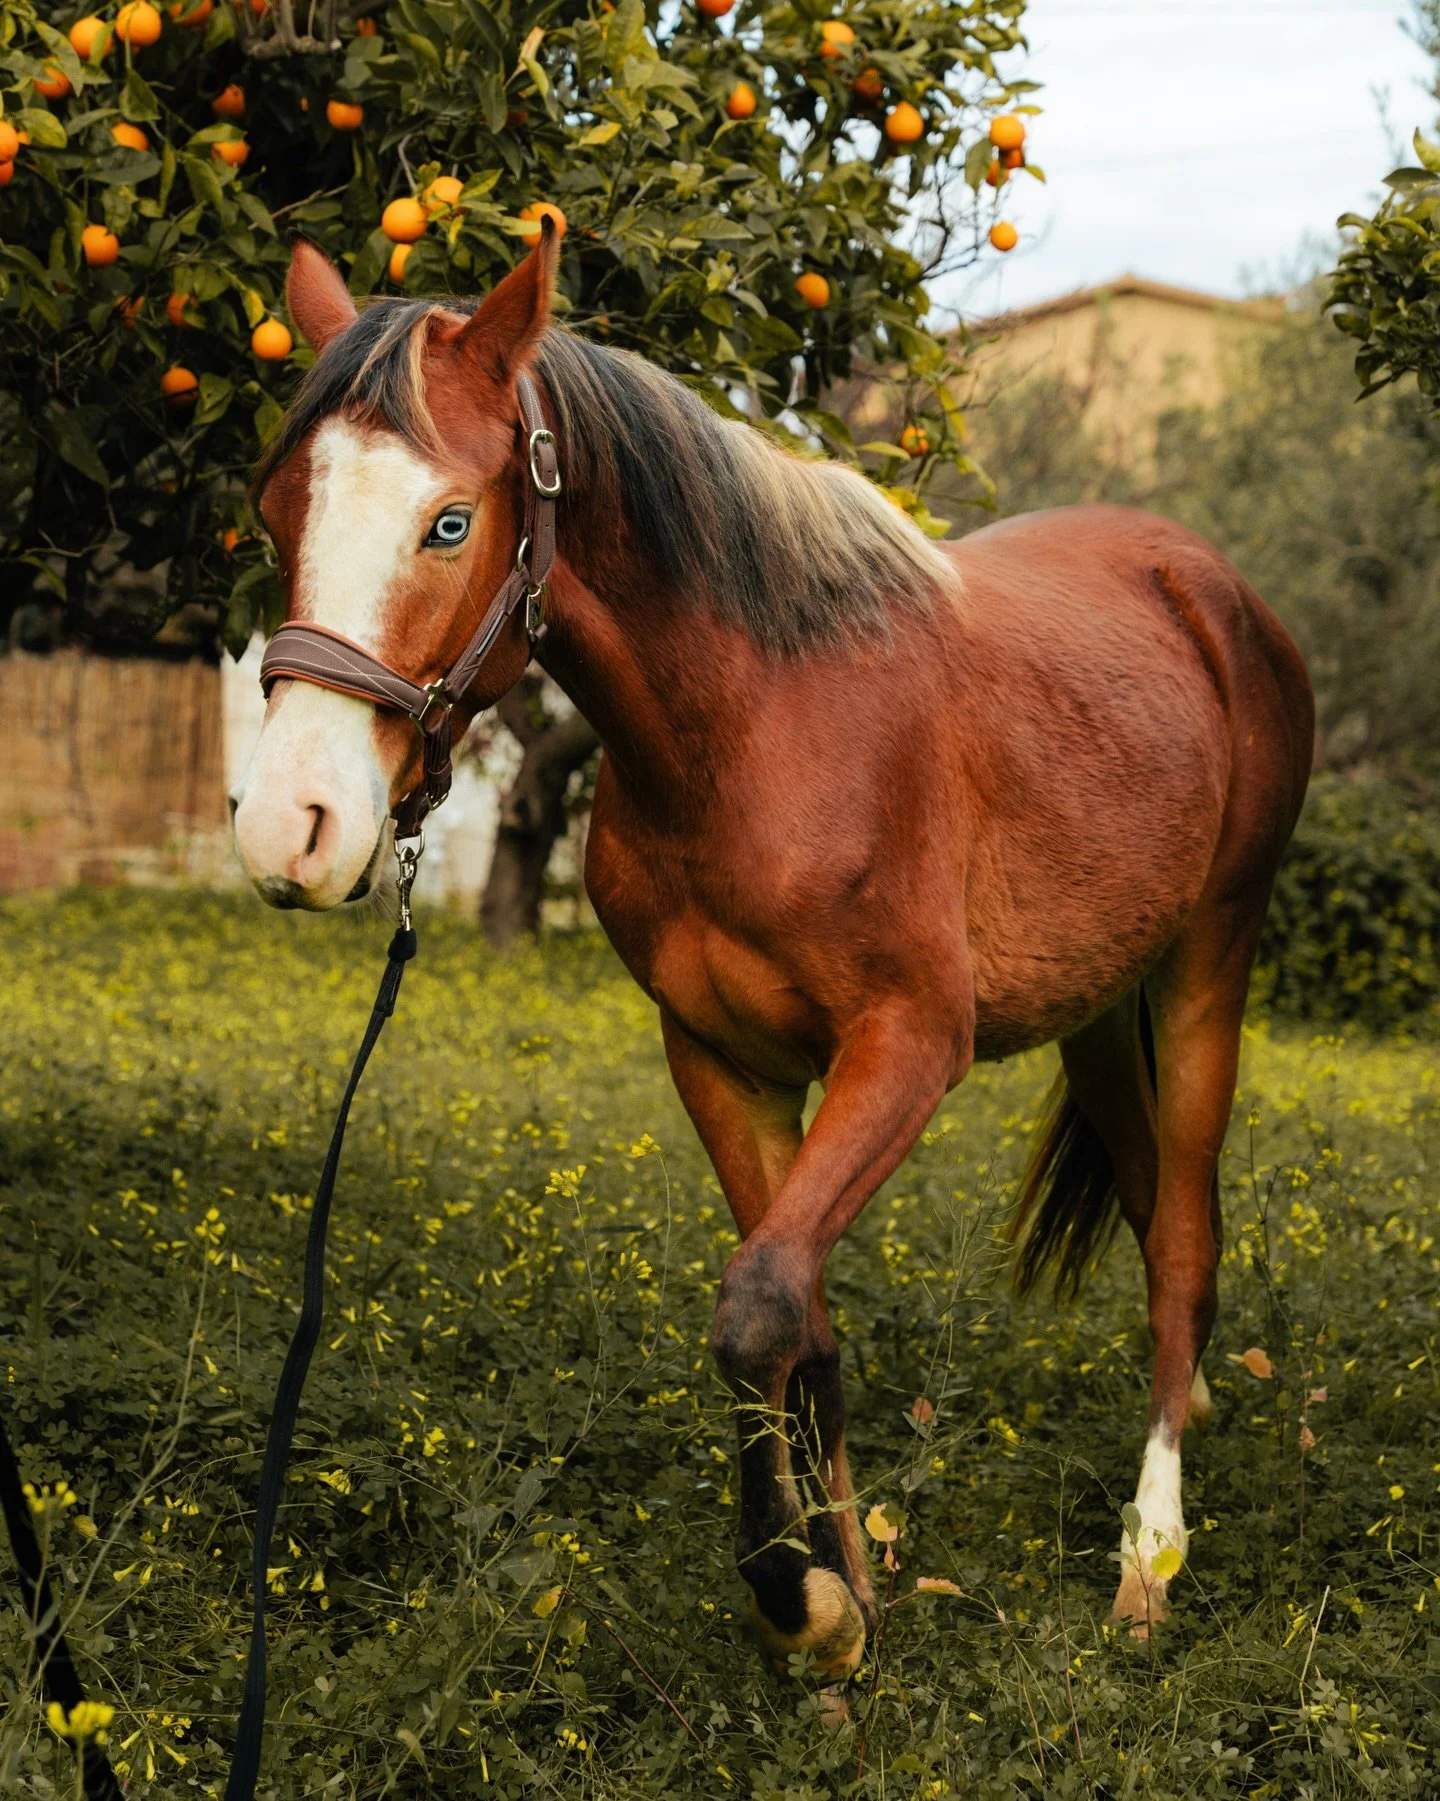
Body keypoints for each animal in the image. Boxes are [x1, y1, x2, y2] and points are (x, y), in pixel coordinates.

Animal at [229, 229, 1314, 1676]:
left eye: (448, 523)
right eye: (277, 512)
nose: (290, 825)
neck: (759, 724)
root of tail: (1209, 585)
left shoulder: (907, 1048)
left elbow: (755, 1310)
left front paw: (802, 1600)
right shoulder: (721, 1059)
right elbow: (800, 1324)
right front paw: (848, 1599)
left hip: (1209, 965)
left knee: (1187, 1242)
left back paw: (1149, 1562)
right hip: (1099, 1014)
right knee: (1153, 1228)